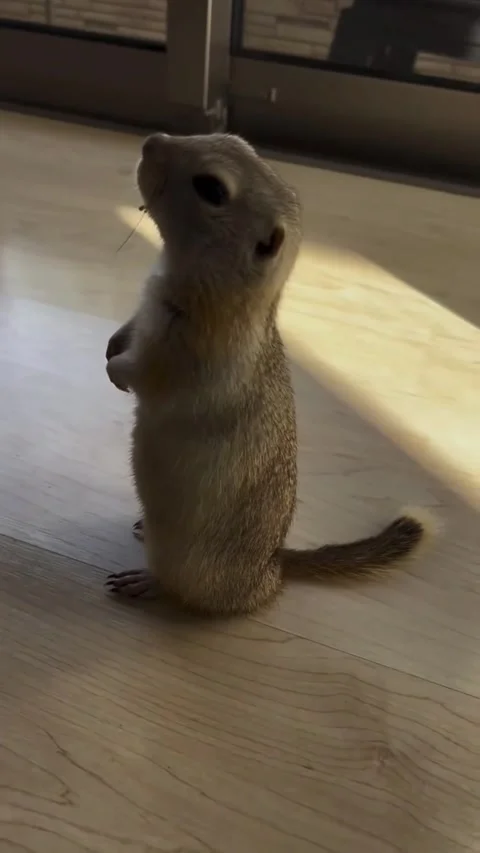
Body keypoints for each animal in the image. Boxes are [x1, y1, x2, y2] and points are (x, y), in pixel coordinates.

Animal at [105, 132, 430, 616]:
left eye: (212, 188)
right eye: (233, 139)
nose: (151, 141)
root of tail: (273, 569)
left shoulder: (188, 347)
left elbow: (148, 372)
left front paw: (115, 369)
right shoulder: (146, 311)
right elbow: (129, 330)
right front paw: (110, 345)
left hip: (186, 565)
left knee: (178, 587)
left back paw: (145, 580)